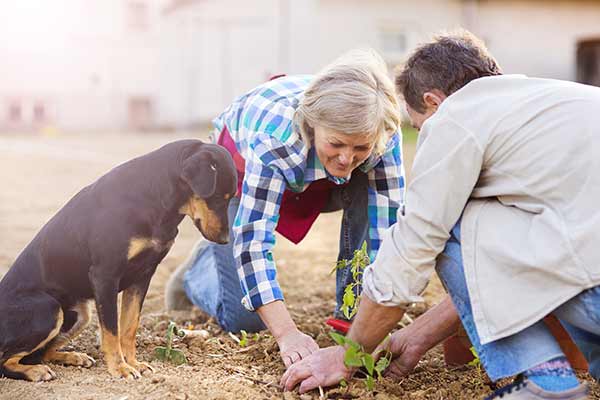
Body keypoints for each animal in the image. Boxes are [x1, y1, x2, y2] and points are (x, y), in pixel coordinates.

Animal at [0, 140, 238, 382]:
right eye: (218, 198)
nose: (225, 240)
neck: (155, 199)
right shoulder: (105, 276)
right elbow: (112, 331)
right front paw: (120, 368)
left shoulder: (142, 277)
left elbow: (129, 327)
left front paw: (133, 363)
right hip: (49, 309)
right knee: (7, 360)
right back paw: (35, 371)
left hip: (81, 314)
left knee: (40, 353)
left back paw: (73, 357)